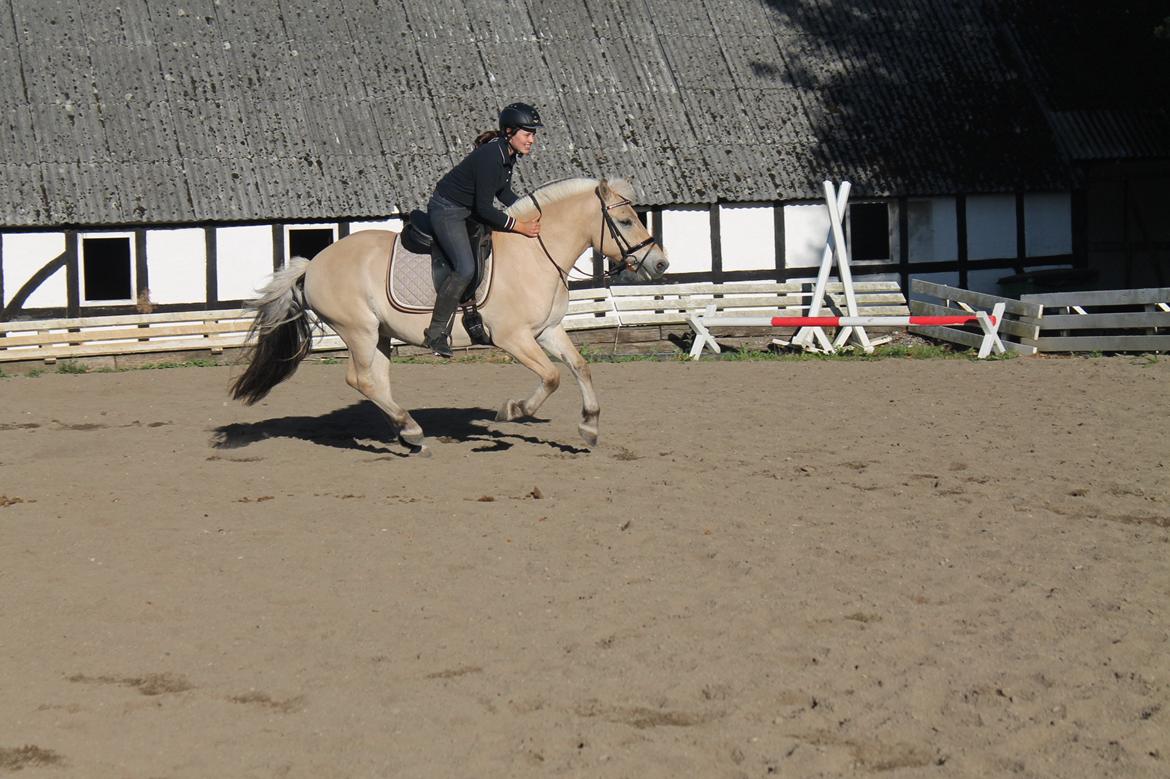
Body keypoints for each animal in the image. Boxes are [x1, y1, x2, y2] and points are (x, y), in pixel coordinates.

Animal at [229, 177, 669, 452]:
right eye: (626, 220)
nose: (661, 263)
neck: (535, 252)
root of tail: (314, 264)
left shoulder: (547, 330)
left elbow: (579, 367)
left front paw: (589, 427)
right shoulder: (513, 337)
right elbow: (551, 376)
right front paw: (513, 410)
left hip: (380, 334)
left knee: (377, 380)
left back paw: (408, 434)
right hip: (359, 330)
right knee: (361, 379)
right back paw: (409, 428)